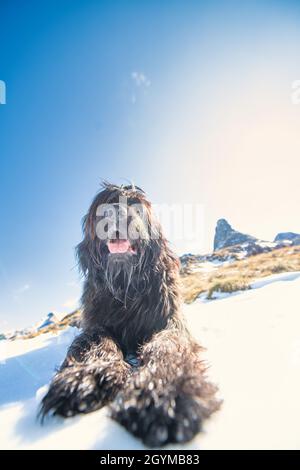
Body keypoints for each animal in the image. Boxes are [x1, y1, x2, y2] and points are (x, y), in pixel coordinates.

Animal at [39, 182, 219, 446]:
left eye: (135, 204)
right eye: (104, 203)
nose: (116, 213)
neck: (127, 286)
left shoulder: (170, 321)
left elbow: (166, 345)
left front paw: (164, 393)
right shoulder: (96, 322)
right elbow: (97, 341)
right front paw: (87, 378)